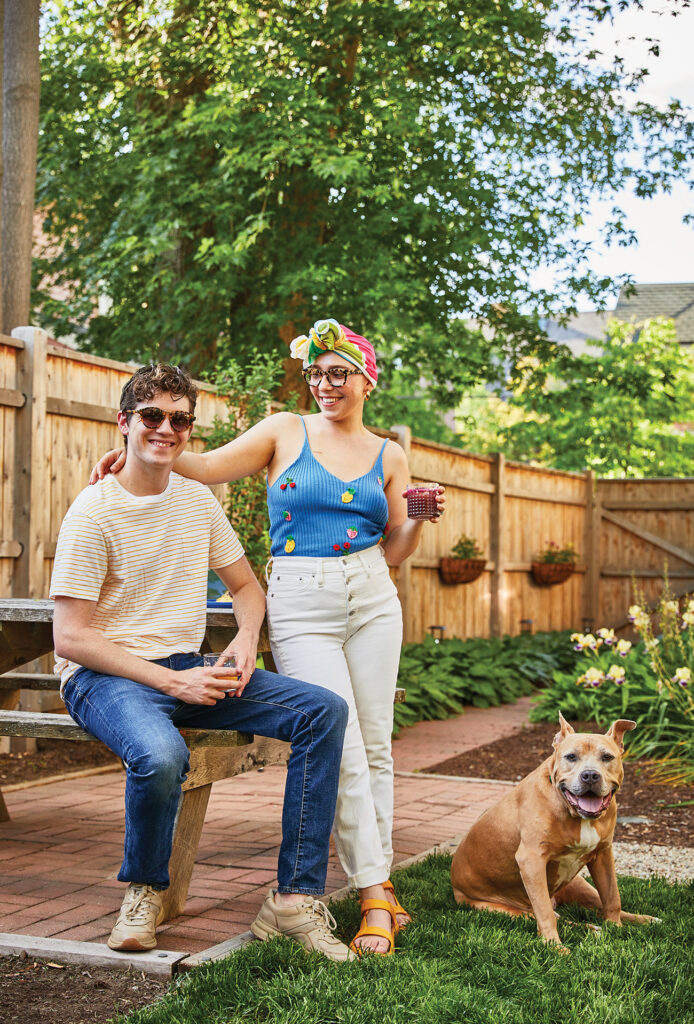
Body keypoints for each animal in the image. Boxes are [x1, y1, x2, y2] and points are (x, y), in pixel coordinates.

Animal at [450, 712, 659, 950]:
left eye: (607, 757)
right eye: (571, 757)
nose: (590, 775)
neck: (573, 812)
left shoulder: (603, 854)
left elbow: (612, 896)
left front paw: (615, 927)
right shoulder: (531, 860)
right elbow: (545, 914)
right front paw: (554, 946)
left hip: (580, 886)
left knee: (597, 905)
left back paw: (643, 920)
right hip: (505, 910)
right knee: (553, 915)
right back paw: (589, 929)